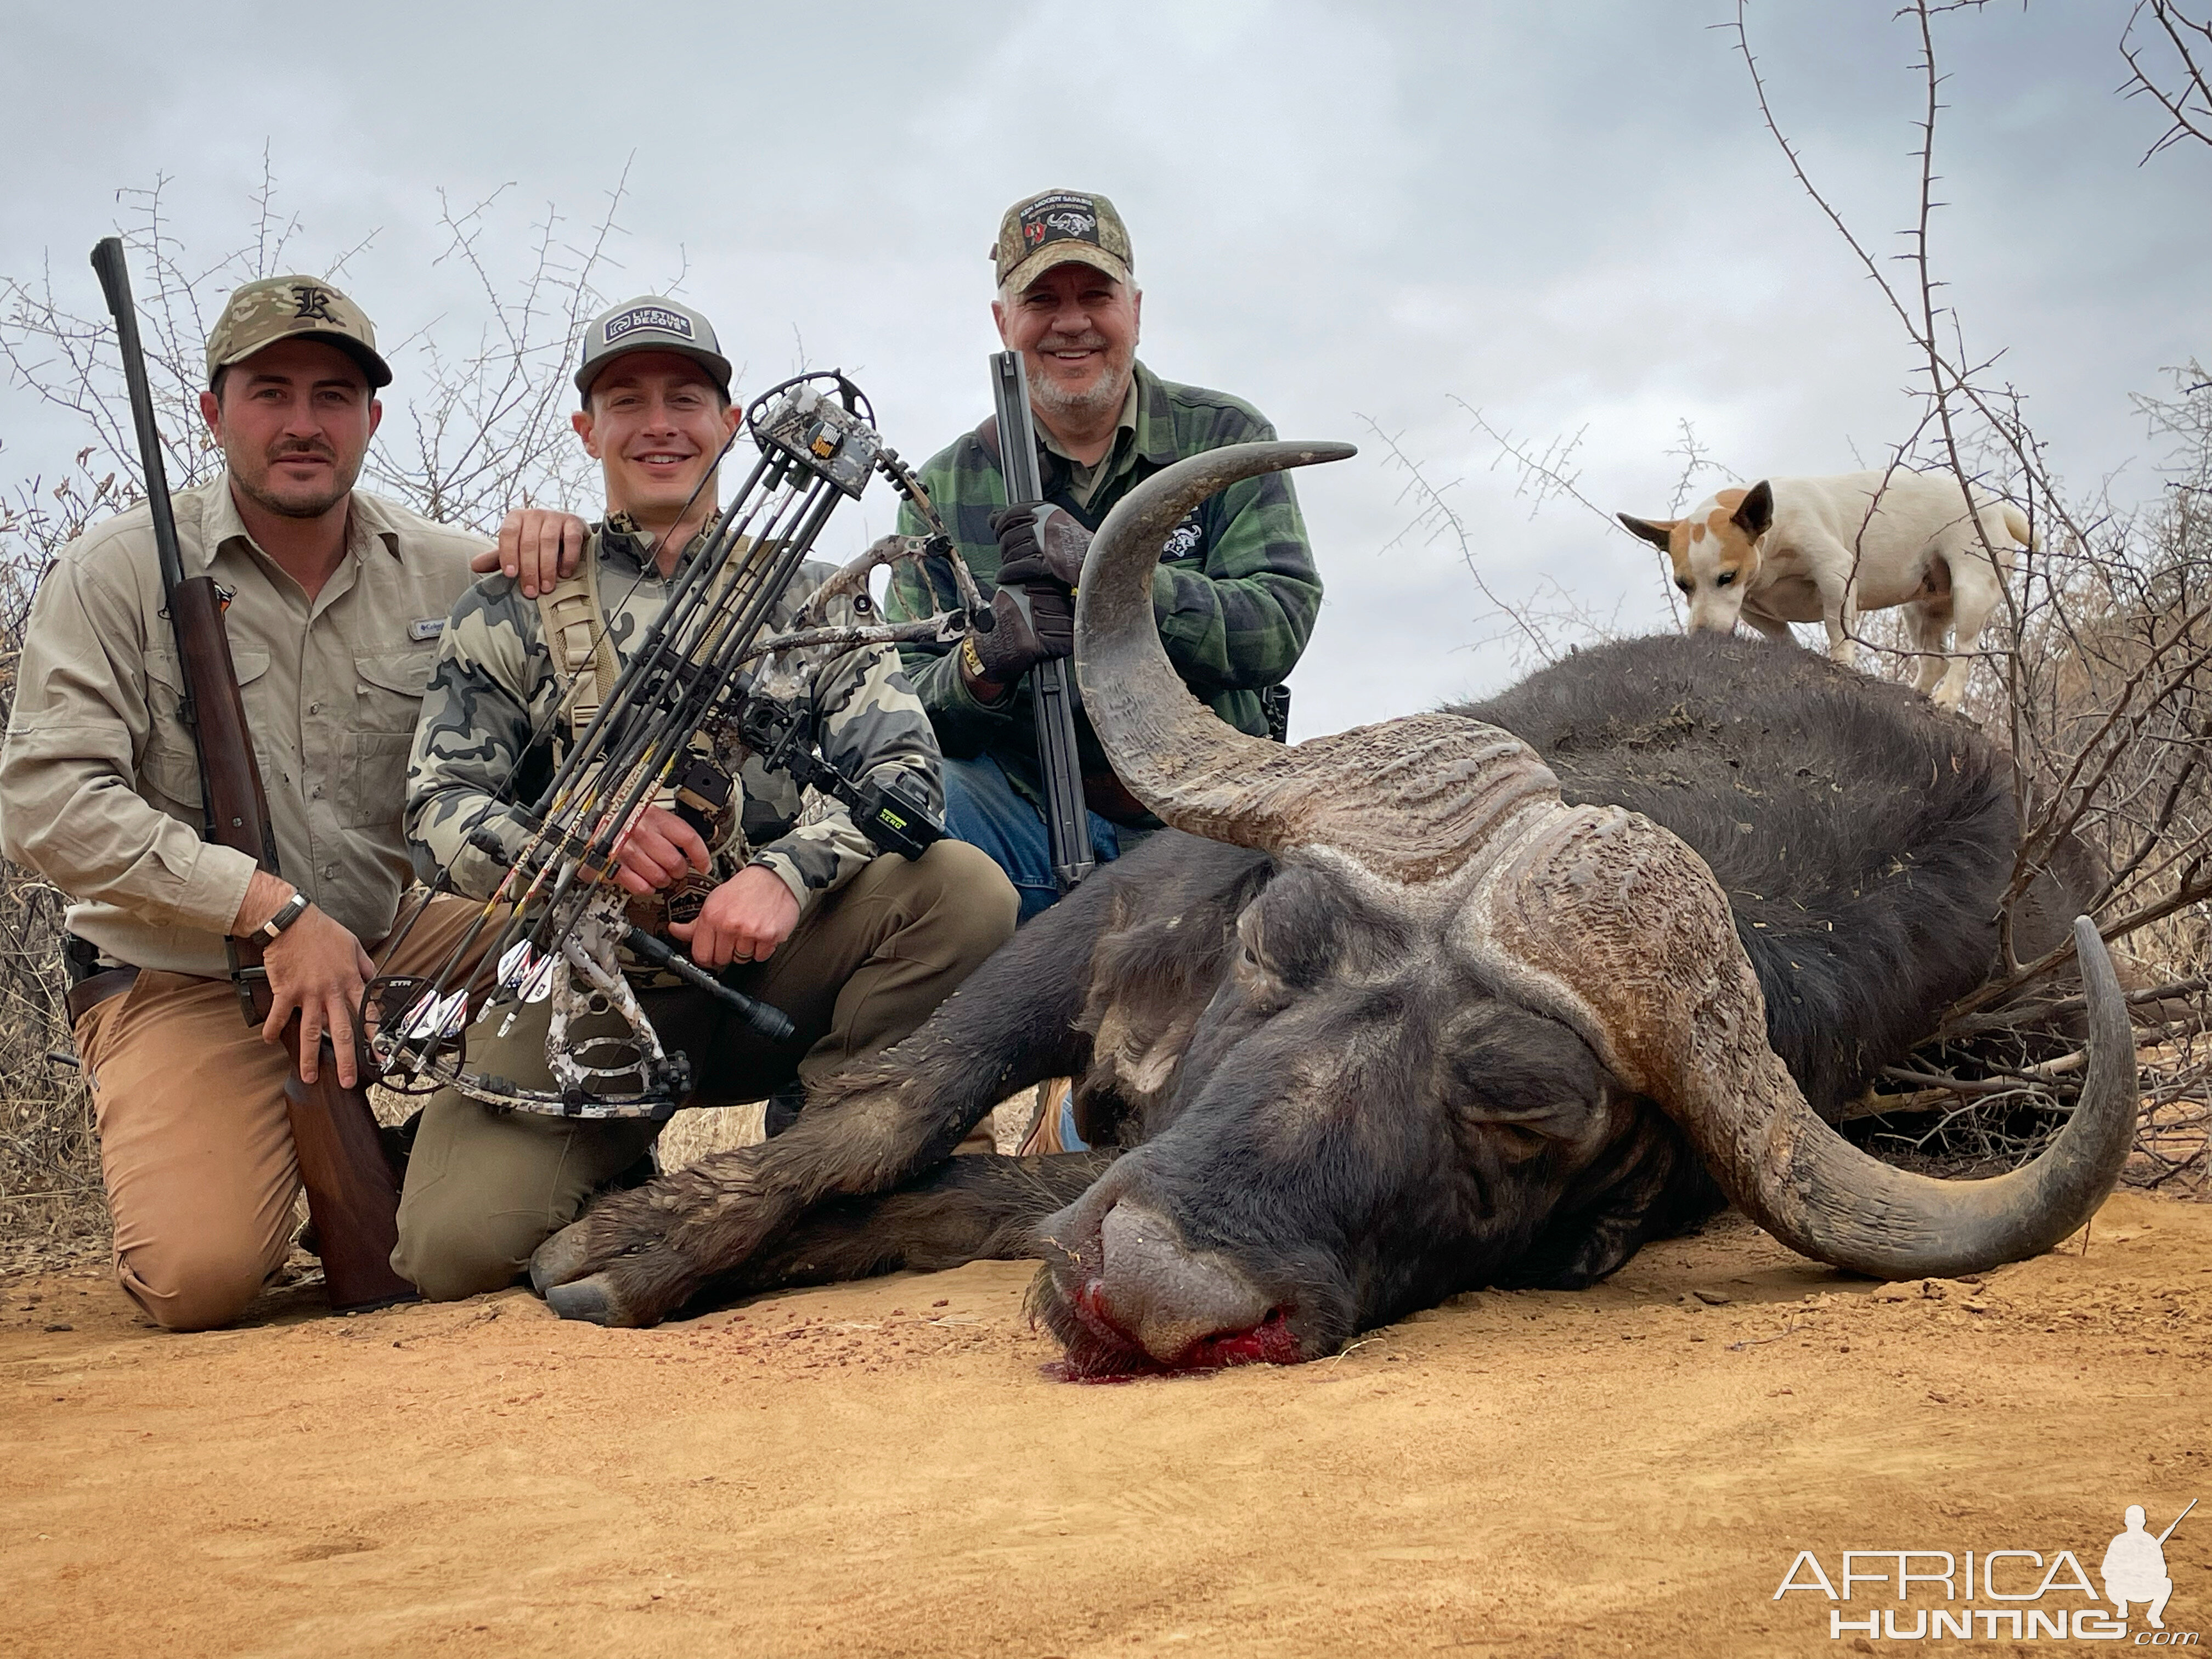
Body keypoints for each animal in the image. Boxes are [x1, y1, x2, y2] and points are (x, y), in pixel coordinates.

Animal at [1619, 471, 2026, 712]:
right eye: (1682, 585)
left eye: (1727, 577)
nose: (1703, 635)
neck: (1771, 537)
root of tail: (1996, 508)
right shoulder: (1754, 608)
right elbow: (1783, 637)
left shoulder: (1836, 571)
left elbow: (1836, 625)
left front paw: (1842, 662)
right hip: (1922, 608)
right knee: (1934, 659)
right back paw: (1916, 693)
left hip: (1971, 588)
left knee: (1964, 650)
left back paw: (1948, 697)